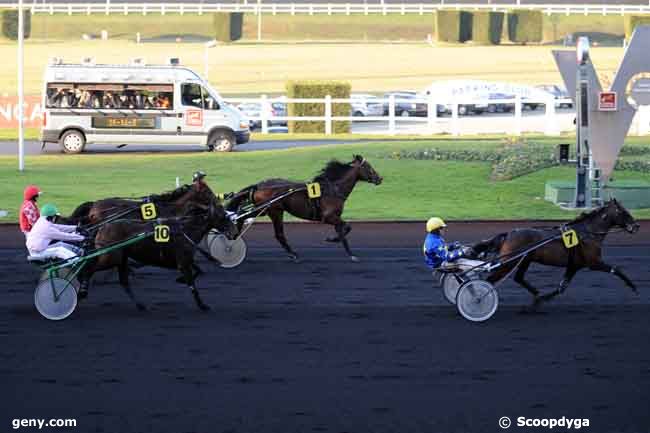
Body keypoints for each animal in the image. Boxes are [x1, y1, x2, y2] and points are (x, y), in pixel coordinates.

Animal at [78, 199, 235, 310]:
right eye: (223, 217)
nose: (234, 232)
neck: (185, 230)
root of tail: (103, 227)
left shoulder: (185, 261)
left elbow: (195, 273)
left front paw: (180, 279)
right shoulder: (183, 262)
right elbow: (192, 283)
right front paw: (202, 305)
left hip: (121, 258)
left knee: (124, 282)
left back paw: (140, 305)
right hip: (110, 256)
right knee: (89, 269)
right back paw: (81, 291)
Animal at [227, 156, 380, 262]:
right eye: (368, 167)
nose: (380, 178)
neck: (332, 189)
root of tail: (259, 185)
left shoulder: (336, 216)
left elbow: (343, 233)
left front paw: (351, 254)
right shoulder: (328, 217)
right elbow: (347, 227)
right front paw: (331, 239)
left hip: (267, 211)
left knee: (248, 218)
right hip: (270, 210)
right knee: (271, 230)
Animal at [474, 199, 640, 308]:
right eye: (624, 211)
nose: (636, 226)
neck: (588, 233)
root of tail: (509, 234)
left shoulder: (574, 266)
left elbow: (562, 287)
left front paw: (542, 299)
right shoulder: (594, 262)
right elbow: (616, 270)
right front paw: (633, 286)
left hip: (525, 260)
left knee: (518, 278)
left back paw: (536, 294)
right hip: (509, 262)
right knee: (491, 280)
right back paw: (478, 299)